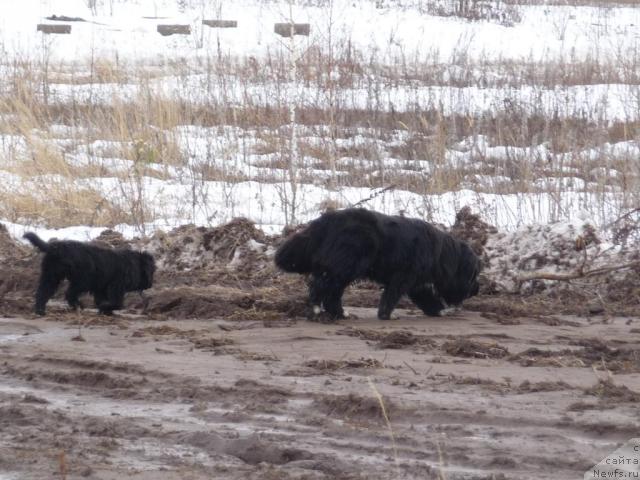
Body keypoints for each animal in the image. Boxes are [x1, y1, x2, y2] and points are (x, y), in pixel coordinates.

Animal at [24, 232, 156, 316]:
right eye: (152, 271)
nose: (150, 285)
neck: (134, 263)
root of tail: (55, 247)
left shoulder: (101, 288)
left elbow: (101, 300)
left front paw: (105, 311)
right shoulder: (116, 286)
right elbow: (117, 303)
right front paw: (105, 308)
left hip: (51, 275)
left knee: (43, 292)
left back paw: (40, 311)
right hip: (82, 280)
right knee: (69, 293)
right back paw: (78, 306)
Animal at [276, 208, 480, 320]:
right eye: (473, 276)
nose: (477, 290)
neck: (442, 255)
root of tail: (323, 222)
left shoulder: (418, 283)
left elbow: (427, 299)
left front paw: (439, 311)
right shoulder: (404, 276)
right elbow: (391, 296)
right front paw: (386, 316)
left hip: (342, 268)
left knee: (330, 292)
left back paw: (339, 314)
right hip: (346, 266)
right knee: (324, 289)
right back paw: (319, 311)